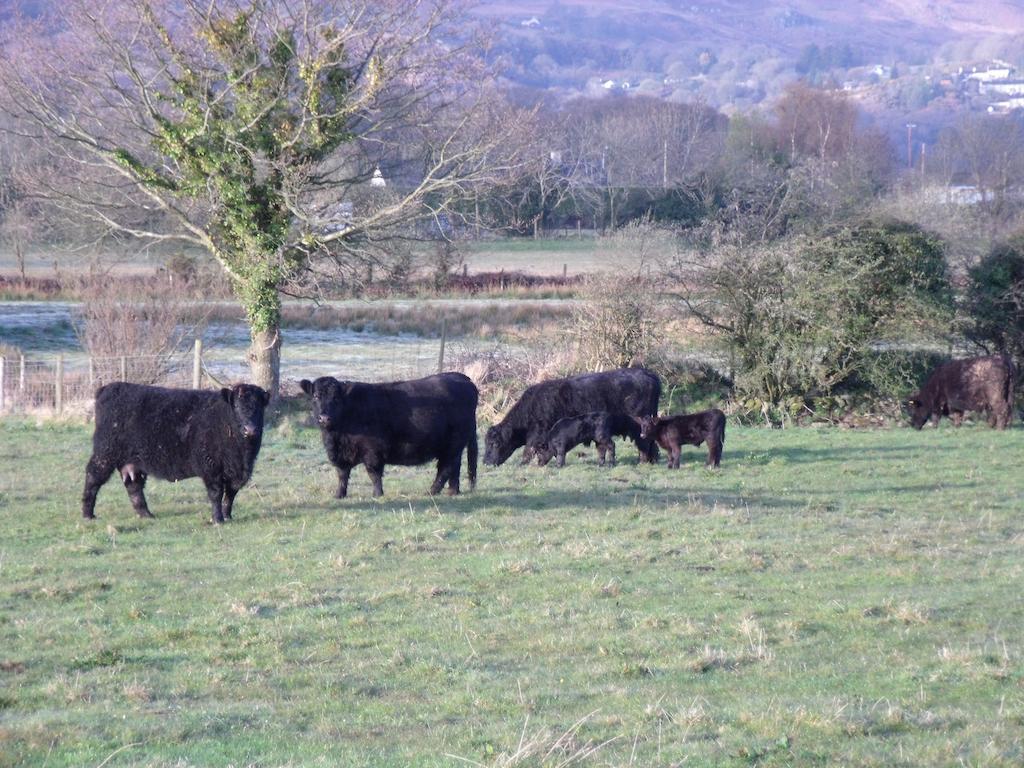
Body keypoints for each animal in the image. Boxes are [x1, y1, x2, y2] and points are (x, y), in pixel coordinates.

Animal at [81, 382, 270, 528]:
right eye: (236, 406)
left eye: (259, 408)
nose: (249, 430)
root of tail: (110, 387)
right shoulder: (211, 468)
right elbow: (216, 494)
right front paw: (217, 519)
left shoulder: (238, 473)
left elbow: (230, 495)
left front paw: (228, 516)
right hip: (105, 453)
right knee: (93, 478)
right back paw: (87, 514)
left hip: (131, 461)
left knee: (134, 486)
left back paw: (146, 514)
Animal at [299, 372, 479, 499]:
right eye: (316, 396)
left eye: (336, 398)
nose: (324, 418)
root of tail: (464, 379)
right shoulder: (340, 454)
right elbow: (342, 474)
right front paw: (339, 495)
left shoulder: (372, 450)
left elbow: (374, 473)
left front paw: (377, 494)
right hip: (453, 445)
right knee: (454, 467)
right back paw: (453, 491)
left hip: (453, 443)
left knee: (446, 467)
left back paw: (432, 491)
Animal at [481, 368, 659, 468]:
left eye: (494, 443)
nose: (486, 462)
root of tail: (647, 373)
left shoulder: (537, 435)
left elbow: (528, 450)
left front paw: (523, 464)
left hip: (640, 425)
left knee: (644, 442)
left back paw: (643, 461)